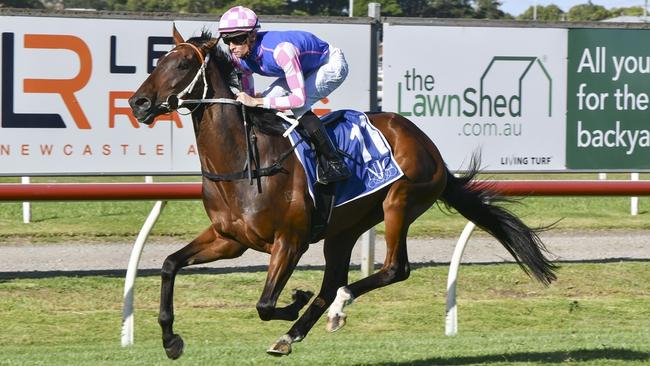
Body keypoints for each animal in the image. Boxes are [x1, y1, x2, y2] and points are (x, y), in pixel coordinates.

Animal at [128, 27, 556, 358]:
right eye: (158, 61)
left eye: (183, 65)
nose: (138, 102)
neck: (246, 163)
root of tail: (429, 146)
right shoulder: (228, 239)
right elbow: (168, 265)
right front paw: (170, 339)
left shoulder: (290, 241)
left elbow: (265, 303)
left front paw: (294, 300)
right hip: (344, 228)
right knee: (334, 278)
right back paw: (296, 332)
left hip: (400, 202)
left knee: (393, 269)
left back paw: (336, 307)